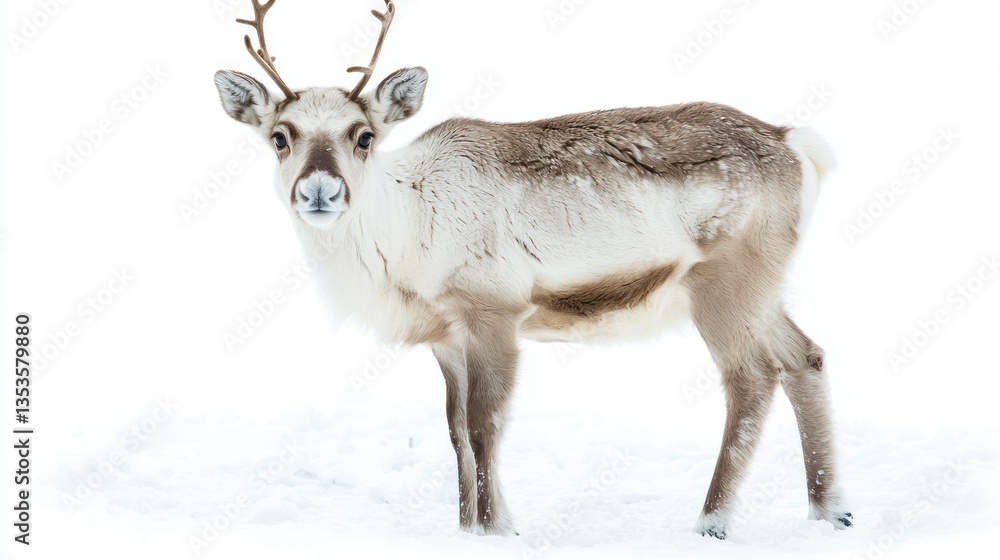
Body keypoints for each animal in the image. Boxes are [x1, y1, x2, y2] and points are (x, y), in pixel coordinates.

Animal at [214, 0, 851, 539]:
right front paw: (467, 528)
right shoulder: (445, 337)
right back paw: (831, 509)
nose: (319, 190)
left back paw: (711, 522)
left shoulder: (493, 311)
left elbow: (483, 426)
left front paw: (497, 528)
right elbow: (455, 434)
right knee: (807, 356)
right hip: (763, 287)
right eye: (280, 137)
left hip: (725, 284)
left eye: (363, 136)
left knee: (753, 377)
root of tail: (795, 143)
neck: (405, 234)